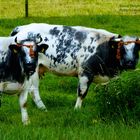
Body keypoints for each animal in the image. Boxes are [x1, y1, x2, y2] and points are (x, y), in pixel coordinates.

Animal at [10, 23, 140, 111]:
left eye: (136, 49)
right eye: (122, 48)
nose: (130, 63)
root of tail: (21, 28)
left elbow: (109, 92)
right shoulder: (85, 72)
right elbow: (82, 92)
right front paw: (77, 109)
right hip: (33, 69)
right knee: (33, 90)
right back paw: (43, 108)